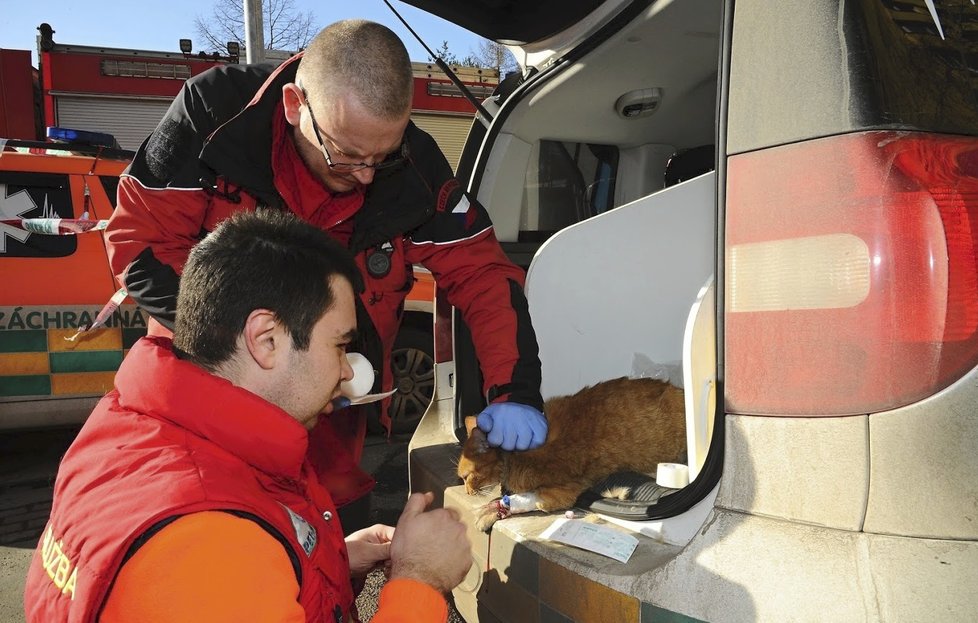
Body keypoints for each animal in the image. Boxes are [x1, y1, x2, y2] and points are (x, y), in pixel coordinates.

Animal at [458, 376, 688, 532]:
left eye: (466, 476)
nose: (467, 492)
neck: (513, 456)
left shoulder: (561, 491)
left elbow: (525, 499)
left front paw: (494, 507)